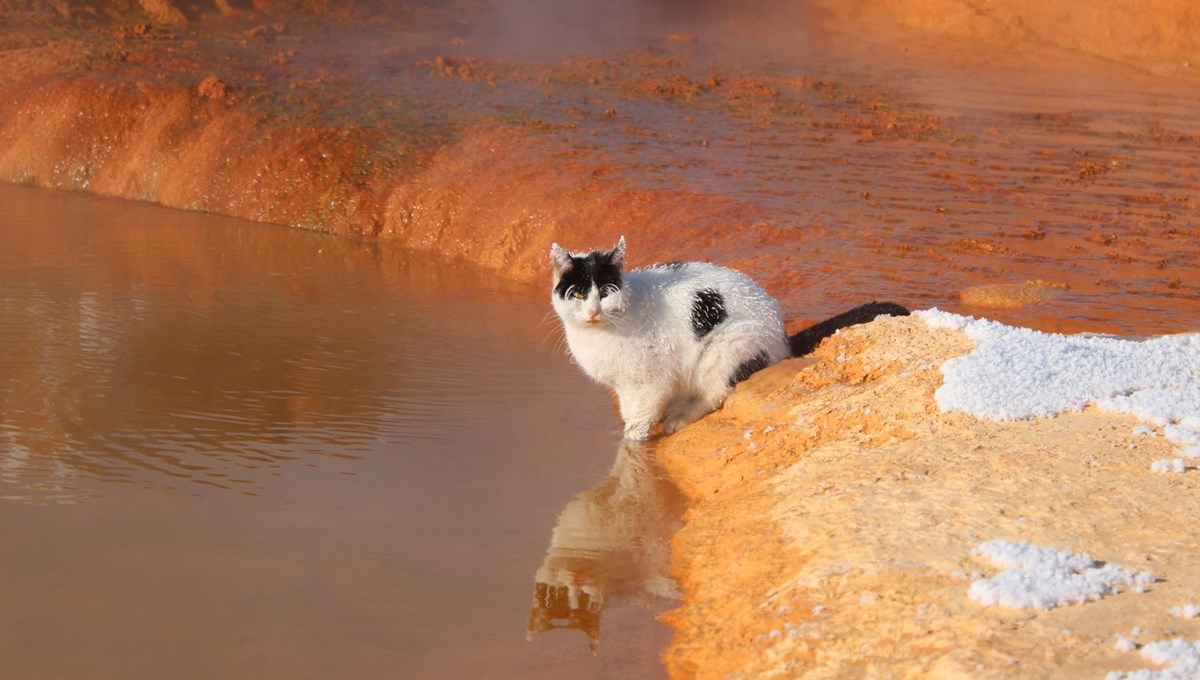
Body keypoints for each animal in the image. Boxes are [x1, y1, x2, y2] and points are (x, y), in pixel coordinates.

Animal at [552, 238, 907, 441]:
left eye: (605, 293)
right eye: (579, 294)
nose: (593, 311)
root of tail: (783, 337)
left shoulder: (649, 382)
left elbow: (638, 423)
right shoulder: (625, 386)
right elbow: (630, 412)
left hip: (727, 347)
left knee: (715, 393)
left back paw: (679, 418)